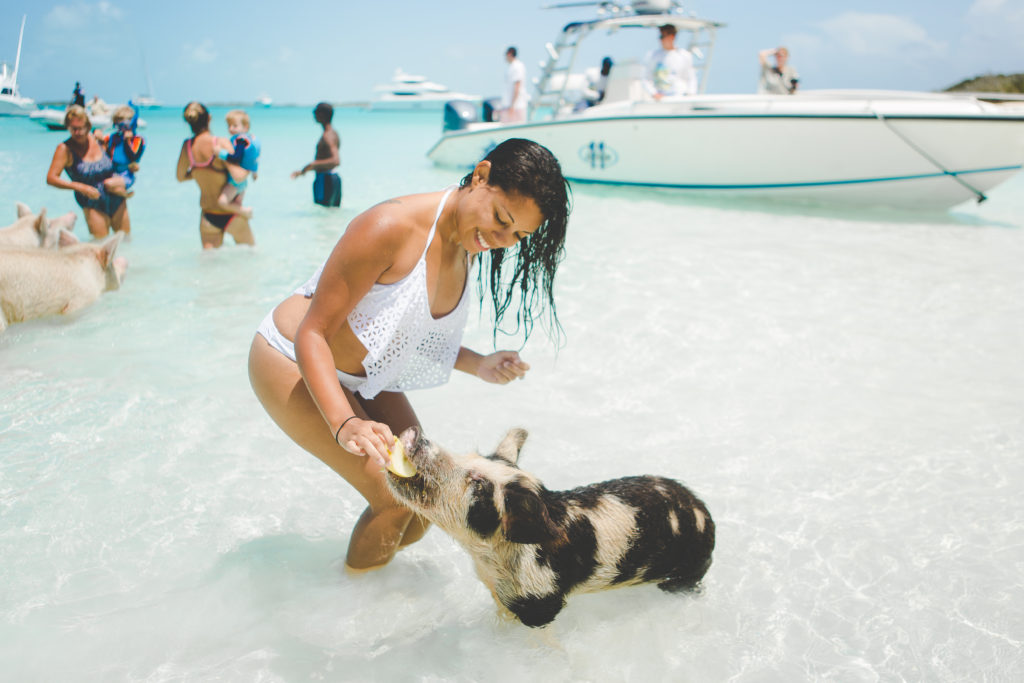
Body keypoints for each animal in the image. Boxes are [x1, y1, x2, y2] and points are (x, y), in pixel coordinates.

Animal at [385, 428, 712, 630]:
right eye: (470, 456)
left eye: (479, 486)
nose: (415, 434)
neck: (487, 558)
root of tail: (704, 511)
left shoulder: (541, 604)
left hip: (688, 571)